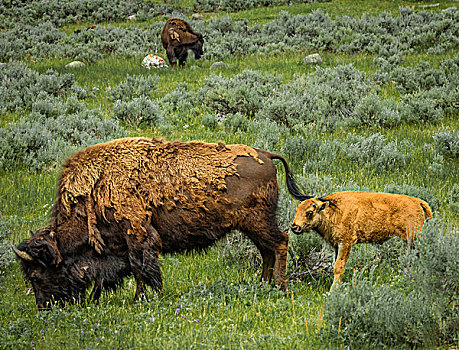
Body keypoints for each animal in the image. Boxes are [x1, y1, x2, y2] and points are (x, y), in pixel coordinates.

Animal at [14, 137, 310, 308]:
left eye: (35, 275)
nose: (44, 306)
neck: (94, 190)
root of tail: (267, 155)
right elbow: (132, 270)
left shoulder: (137, 235)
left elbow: (141, 269)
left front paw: (139, 300)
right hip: (251, 226)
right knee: (267, 251)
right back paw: (262, 285)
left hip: (258, 222)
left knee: (280, 243)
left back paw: (280, 287)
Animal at [292, 191, 434, 288]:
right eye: (297, 210)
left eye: (309, 212)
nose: (294, 227)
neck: (333, 210)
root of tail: (418, 201)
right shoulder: (336, 245)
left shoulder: (345, 243)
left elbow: (338, 267)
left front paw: (334, 289)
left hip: (414, 238)